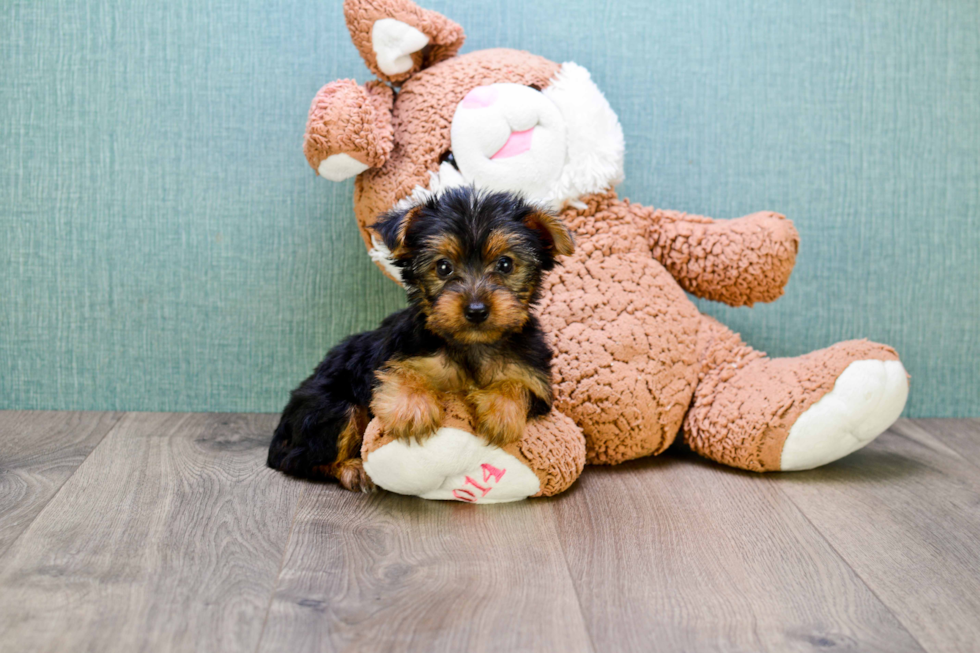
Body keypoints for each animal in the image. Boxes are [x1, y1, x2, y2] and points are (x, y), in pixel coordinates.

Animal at [268, 187, 576, 488]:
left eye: (505, 264)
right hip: (328, 405)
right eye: (443, 267)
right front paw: (412, 408)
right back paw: (352, 469)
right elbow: (402, 371)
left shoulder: (534, 378)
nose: (476, 310)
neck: (471, 345)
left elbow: (518, 385)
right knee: (301, 458)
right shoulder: (400, 352)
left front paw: (501, 412)